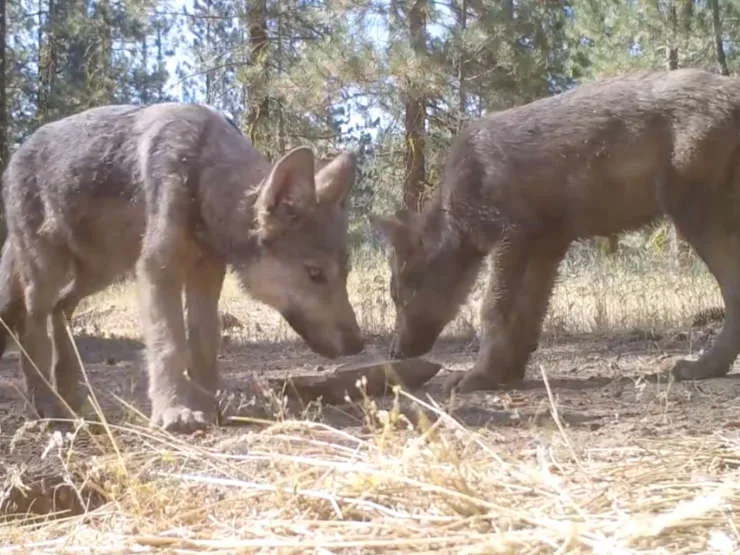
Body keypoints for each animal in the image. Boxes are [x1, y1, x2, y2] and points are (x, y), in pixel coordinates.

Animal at [0, 103, 364, 432]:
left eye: (345, 274)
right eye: (315, 274)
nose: (358, 346)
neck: (200, 175)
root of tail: (18, 153)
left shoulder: (207, 279)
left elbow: (204, 345)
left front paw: (211, 406)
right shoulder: (157, 272)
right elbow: (169, 345)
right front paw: (175, 411)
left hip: (100, 272)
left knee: (61, 310)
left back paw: (71, 400)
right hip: (48, 276)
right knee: (30, 327)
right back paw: (50, 408)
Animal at [373, 68, 740, 393]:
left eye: (398, 296)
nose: (394, 352)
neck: (455, 213)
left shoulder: (511, 236)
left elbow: (492, 312)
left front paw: (478, 377)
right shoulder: (548, 246)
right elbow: (527, 316)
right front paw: (508, 373)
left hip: (693, 217)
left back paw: (702, 367)